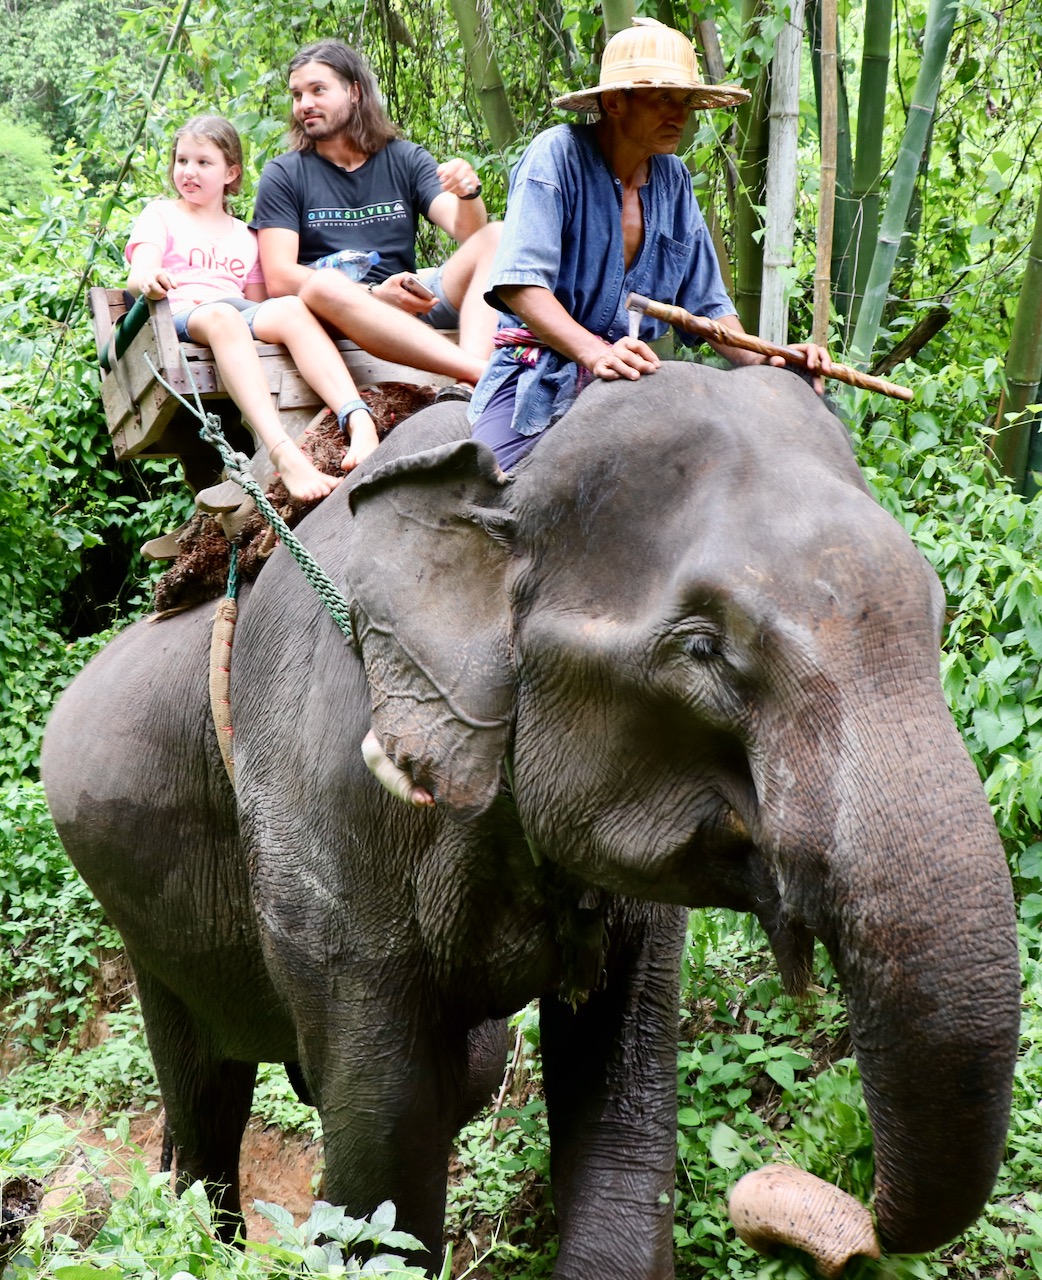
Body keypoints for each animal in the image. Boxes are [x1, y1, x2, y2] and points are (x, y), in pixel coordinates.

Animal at [41, 362, 1020, 1278]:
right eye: (705, 650)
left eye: (936, 613)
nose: (820, 1206)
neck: (509, 475)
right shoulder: (322, 809)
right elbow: (386, 1132)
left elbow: (620, 1076)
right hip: (139, 911)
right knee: (207, 1090)